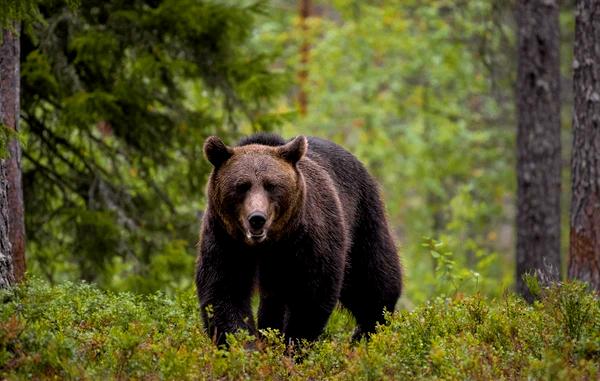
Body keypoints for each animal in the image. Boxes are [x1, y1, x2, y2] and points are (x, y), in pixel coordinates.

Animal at [197, 133, 404, 344]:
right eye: (241, 186)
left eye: (271, 185)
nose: (257, 218)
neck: (268, 243)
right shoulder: (225, 240)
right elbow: (224, 292)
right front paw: (245, 344)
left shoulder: (308, 239)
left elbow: (311, 295)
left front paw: (294, 342)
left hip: (362, 218)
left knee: (373, 280)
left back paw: (367, 332)